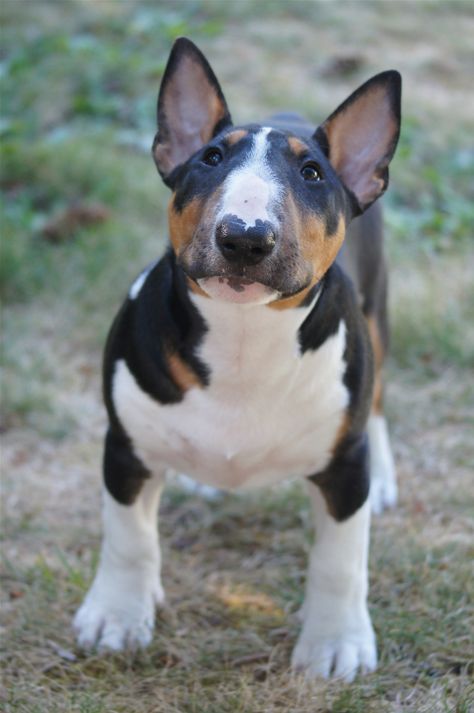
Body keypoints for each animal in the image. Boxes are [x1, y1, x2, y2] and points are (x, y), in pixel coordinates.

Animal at [73, 37, 400, 680]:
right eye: (211, 158)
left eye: (311, 173)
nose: (245, 237)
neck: (244, 341)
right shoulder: (124, 447)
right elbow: (129, 537)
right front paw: (117, 615)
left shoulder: (343, 471)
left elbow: (341, 559)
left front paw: (336, 644)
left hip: (376, 313)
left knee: (376, 400)